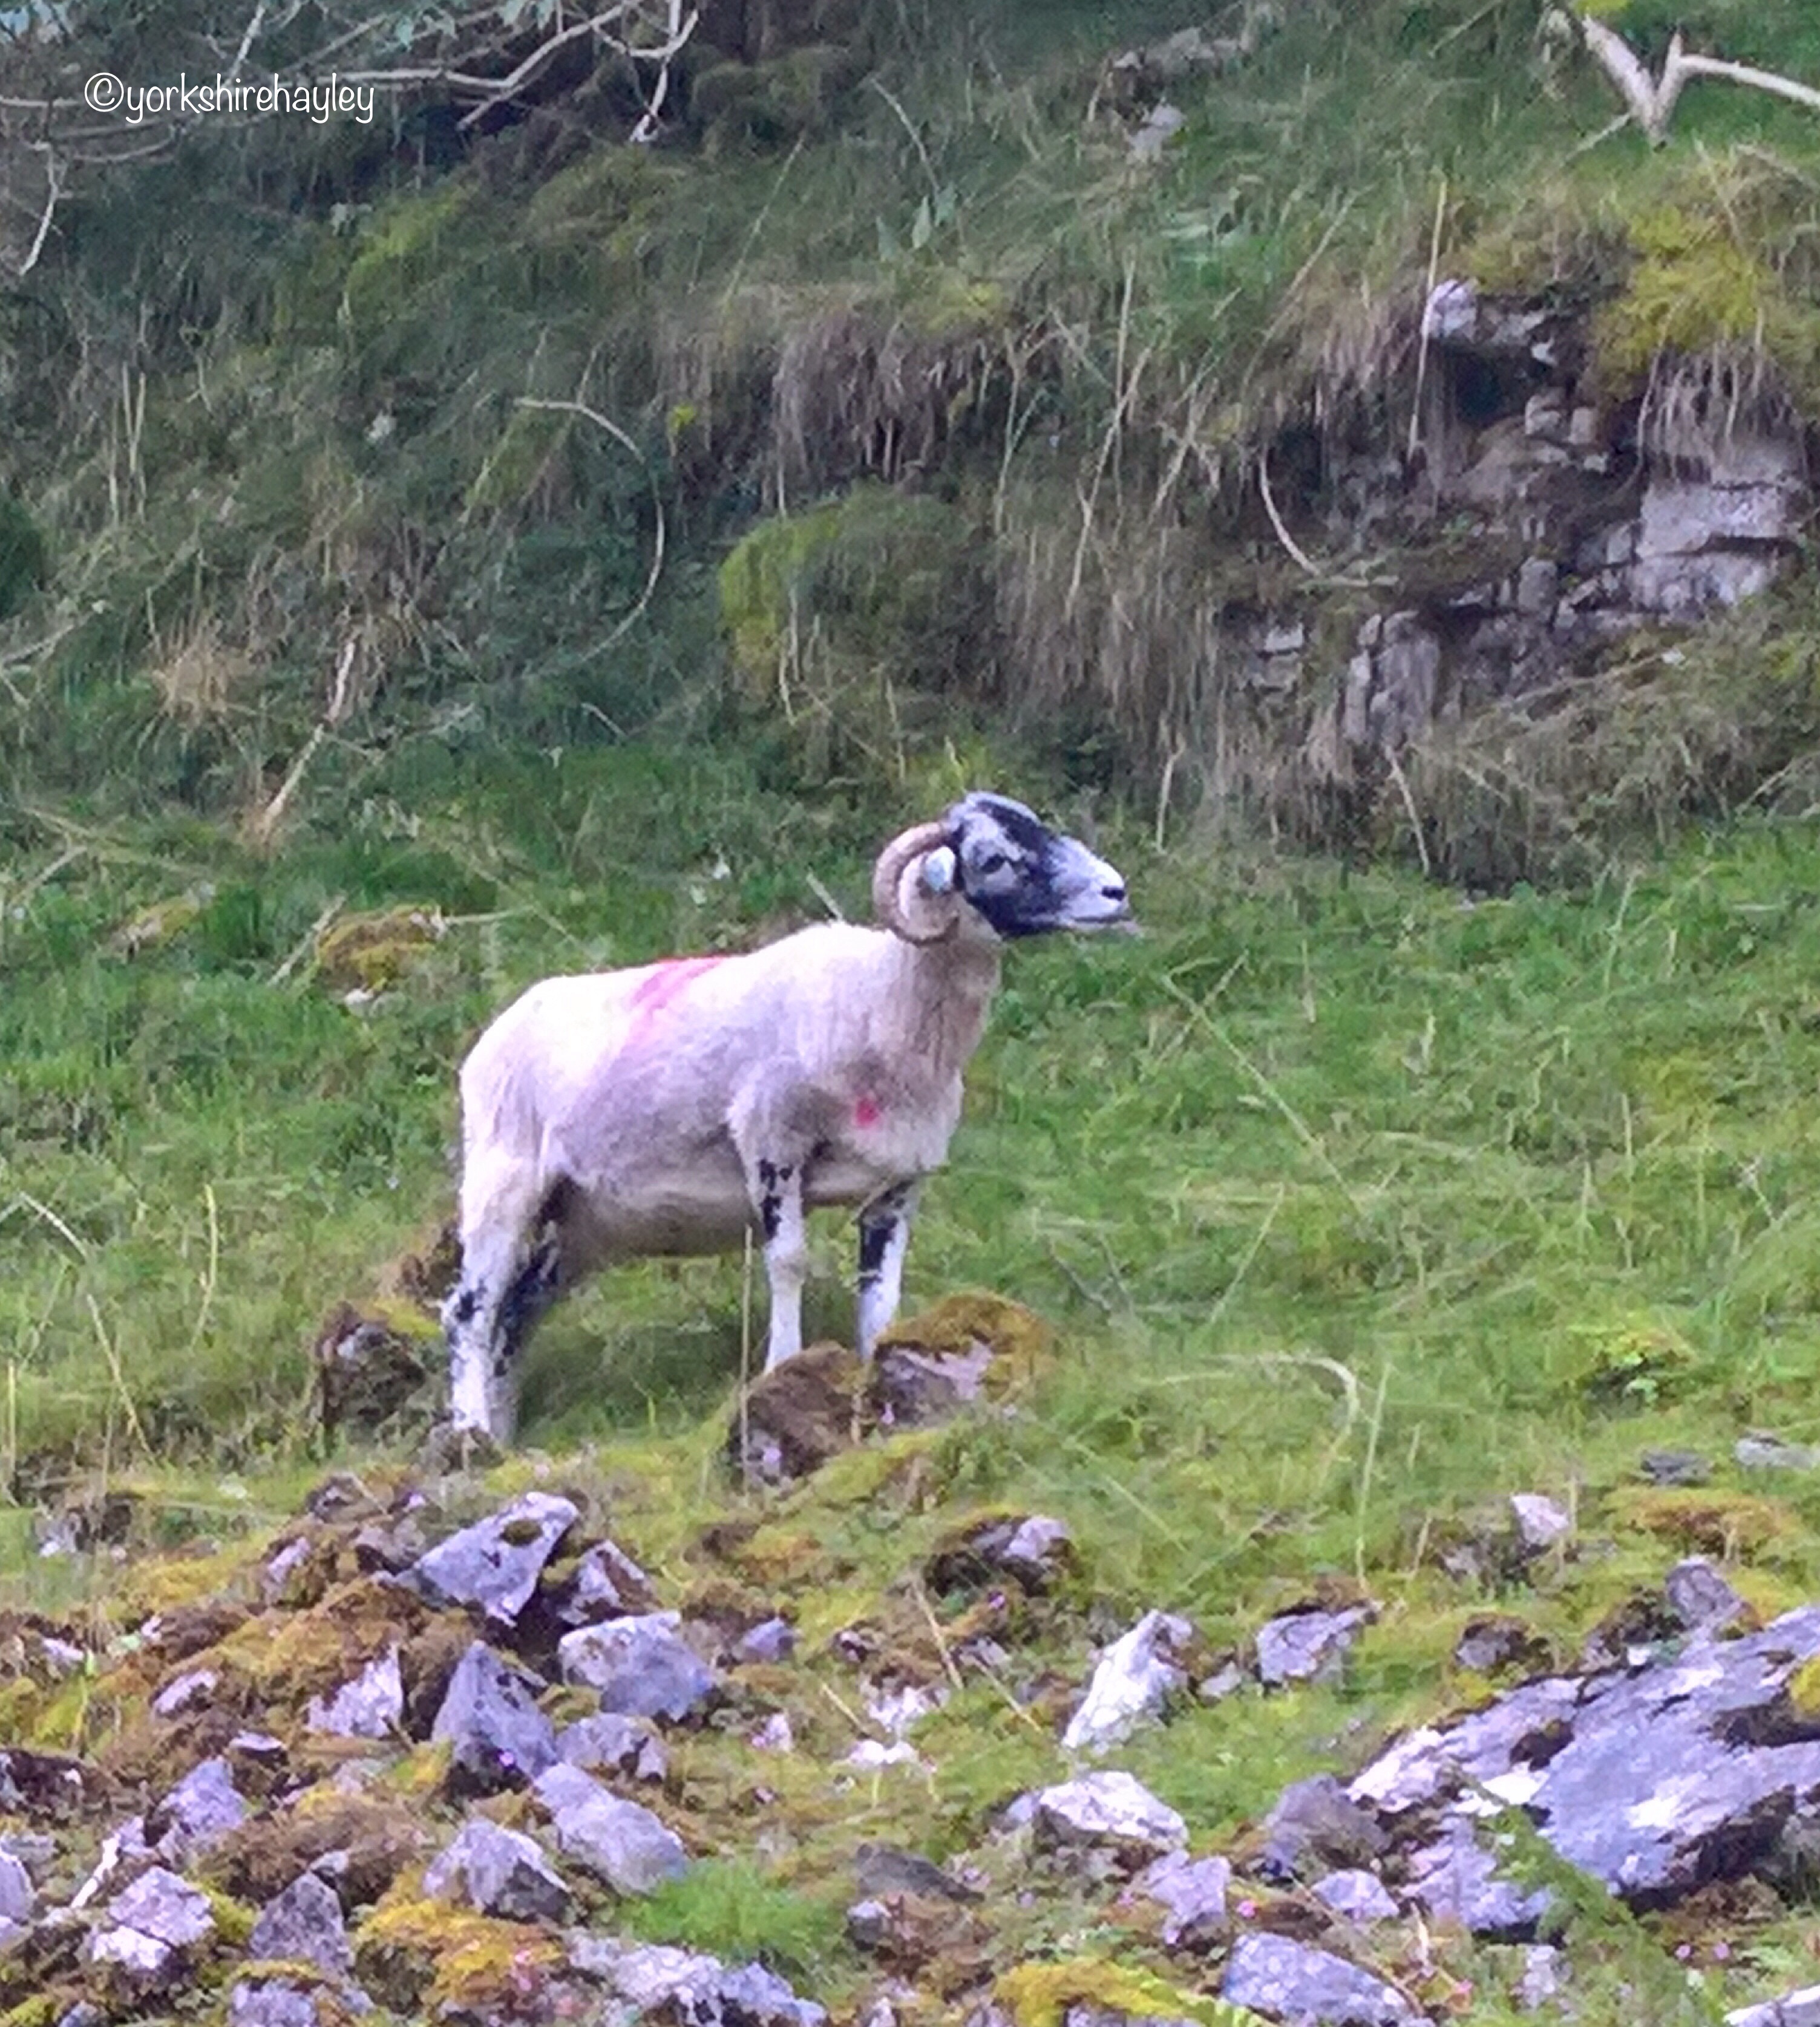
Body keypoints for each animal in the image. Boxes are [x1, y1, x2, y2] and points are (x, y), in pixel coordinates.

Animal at [441, 792, 1130, 1441]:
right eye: (993, 859)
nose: (1116, 892)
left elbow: (881, 1294)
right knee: (470, 1312)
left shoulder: (900, 1179)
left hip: (586, 1221)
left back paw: (504, 1436)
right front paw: (782, 1366)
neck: (880, 1000)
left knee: (516, 1312)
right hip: (503, 1180)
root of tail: (493, 1036)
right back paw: (470, 1432)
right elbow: (789, 1261)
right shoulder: (771, 1142)